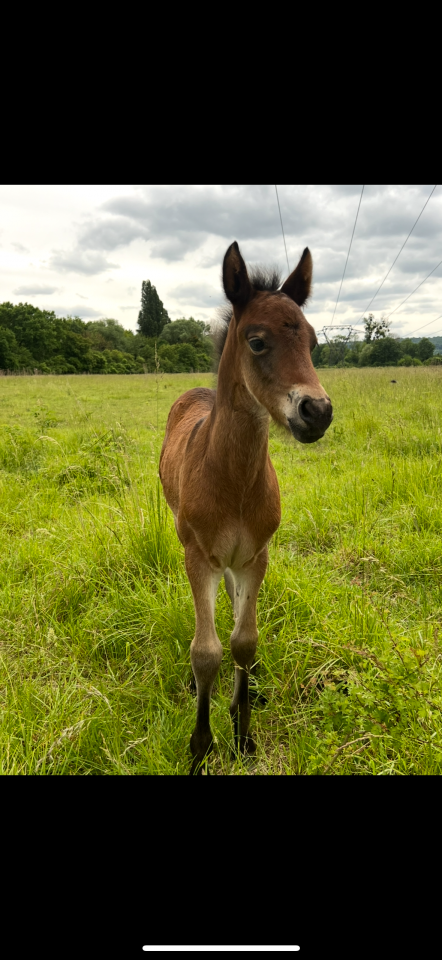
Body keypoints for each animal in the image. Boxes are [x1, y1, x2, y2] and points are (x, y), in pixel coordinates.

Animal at [159, 240, 333, 774]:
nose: (318, 411)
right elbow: (206, 651)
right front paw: (200, 745)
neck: (232, 480)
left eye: (313, 342)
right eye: (257, 342)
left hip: (237, 562)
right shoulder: (199, 558)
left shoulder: (257, 557)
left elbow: (243, 642)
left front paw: (242, 728)